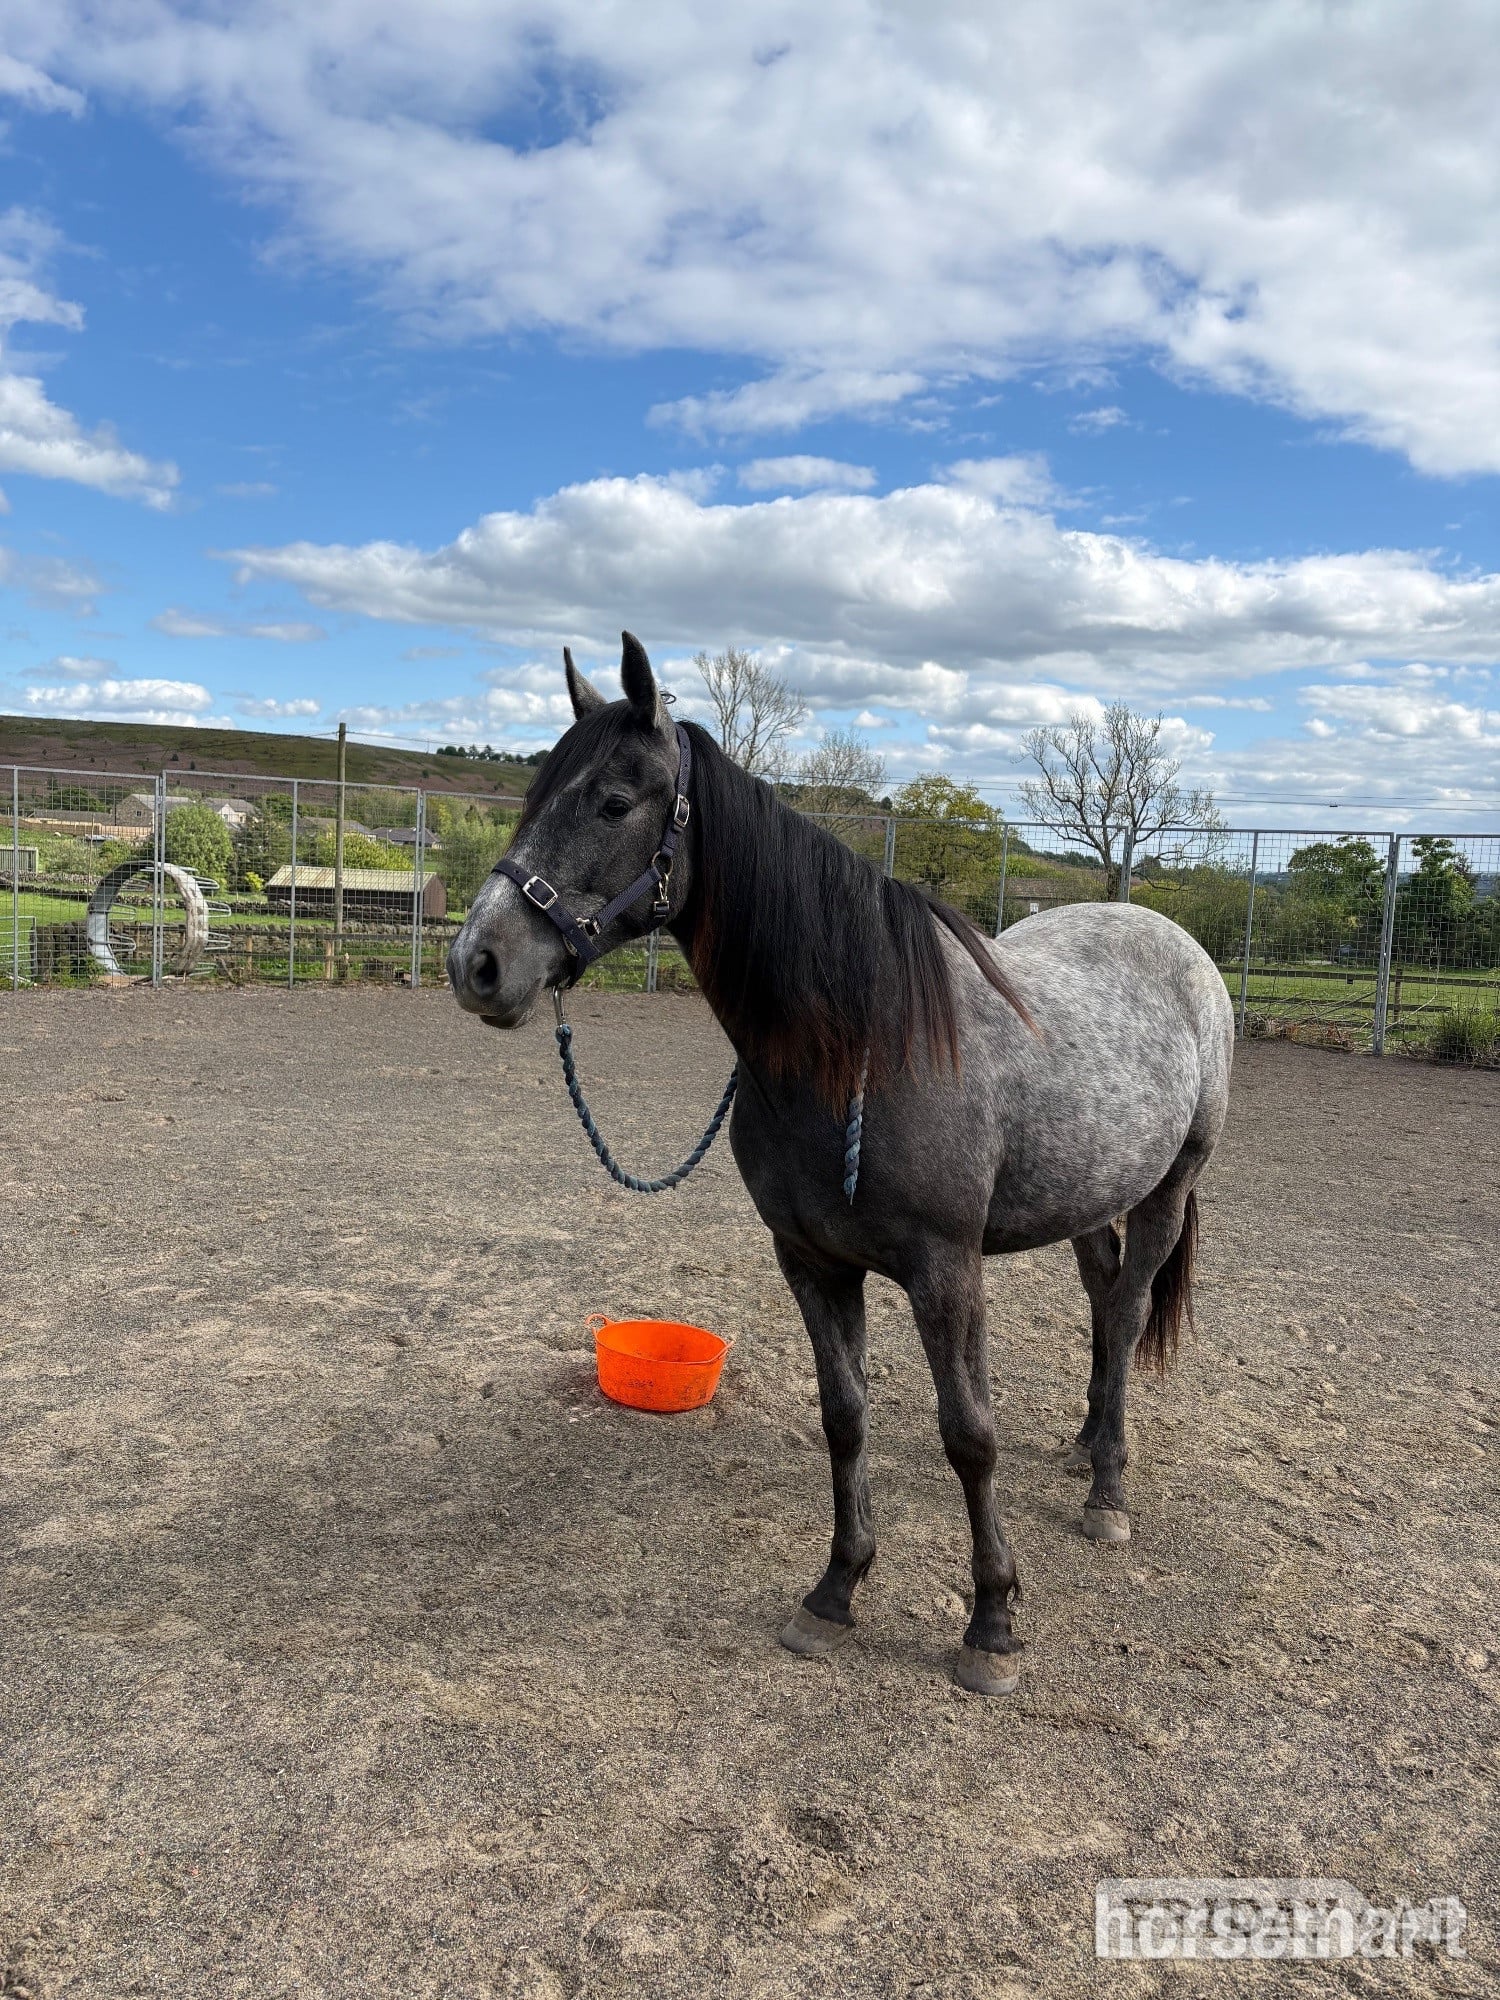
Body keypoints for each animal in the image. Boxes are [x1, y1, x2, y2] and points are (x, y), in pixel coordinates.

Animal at [448, 633, 1233, 1696]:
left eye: (612, 801)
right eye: (535, 794)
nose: (477, 963)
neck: (859, 1044)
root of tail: (1173, 940)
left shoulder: (946, 1271)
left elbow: (968, 1436)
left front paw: (991, 1624)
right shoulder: (813, 1263)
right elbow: (846, 1418)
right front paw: (836, 1590)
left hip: (1168, 1189)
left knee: (1132, 1305)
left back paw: (1108, 1488)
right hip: (1087, 1201)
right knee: (1107, 1303)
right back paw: (1082, 1448)